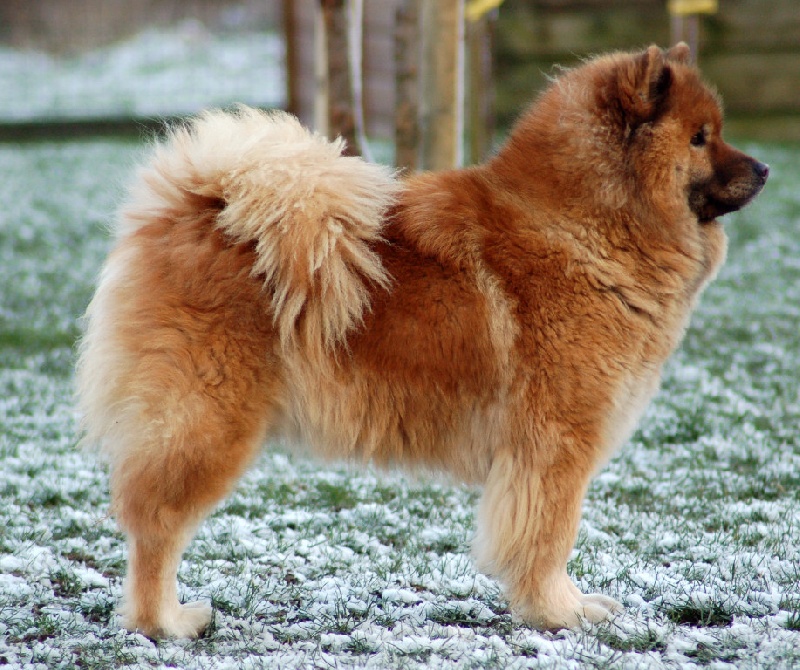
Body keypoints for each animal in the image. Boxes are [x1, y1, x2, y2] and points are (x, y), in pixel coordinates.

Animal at [76, 43, 767, 637]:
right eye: (700, 138)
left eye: (715, 129)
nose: (764, 169)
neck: (583, 225)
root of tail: (188, 208)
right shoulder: (555, 446)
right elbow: (547, 538)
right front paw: (557, 613)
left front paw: (569, 606)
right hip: (206, 426)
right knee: (155, 529)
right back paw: (164, 622)